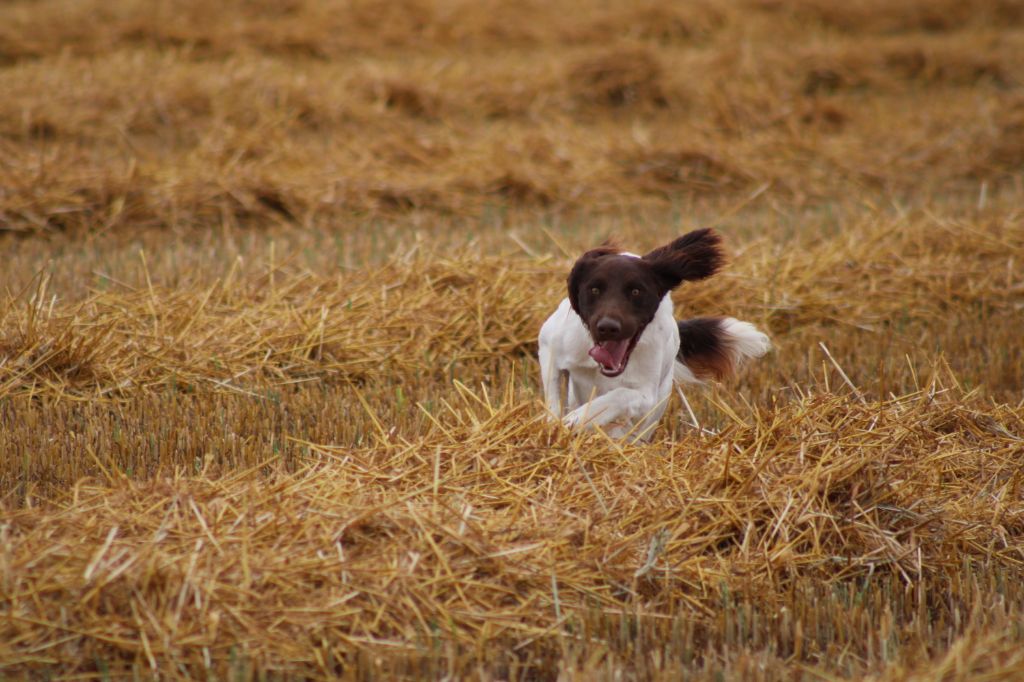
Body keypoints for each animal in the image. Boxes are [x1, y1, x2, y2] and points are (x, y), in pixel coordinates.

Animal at [536, 228, 770, 438]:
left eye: (636, 291)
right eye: (594, 289)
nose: (608, 327)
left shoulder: (647, 396)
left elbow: (620, 395)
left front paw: (578, 418)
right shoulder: (549, 344)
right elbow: (553, 392)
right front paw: (556, 425)